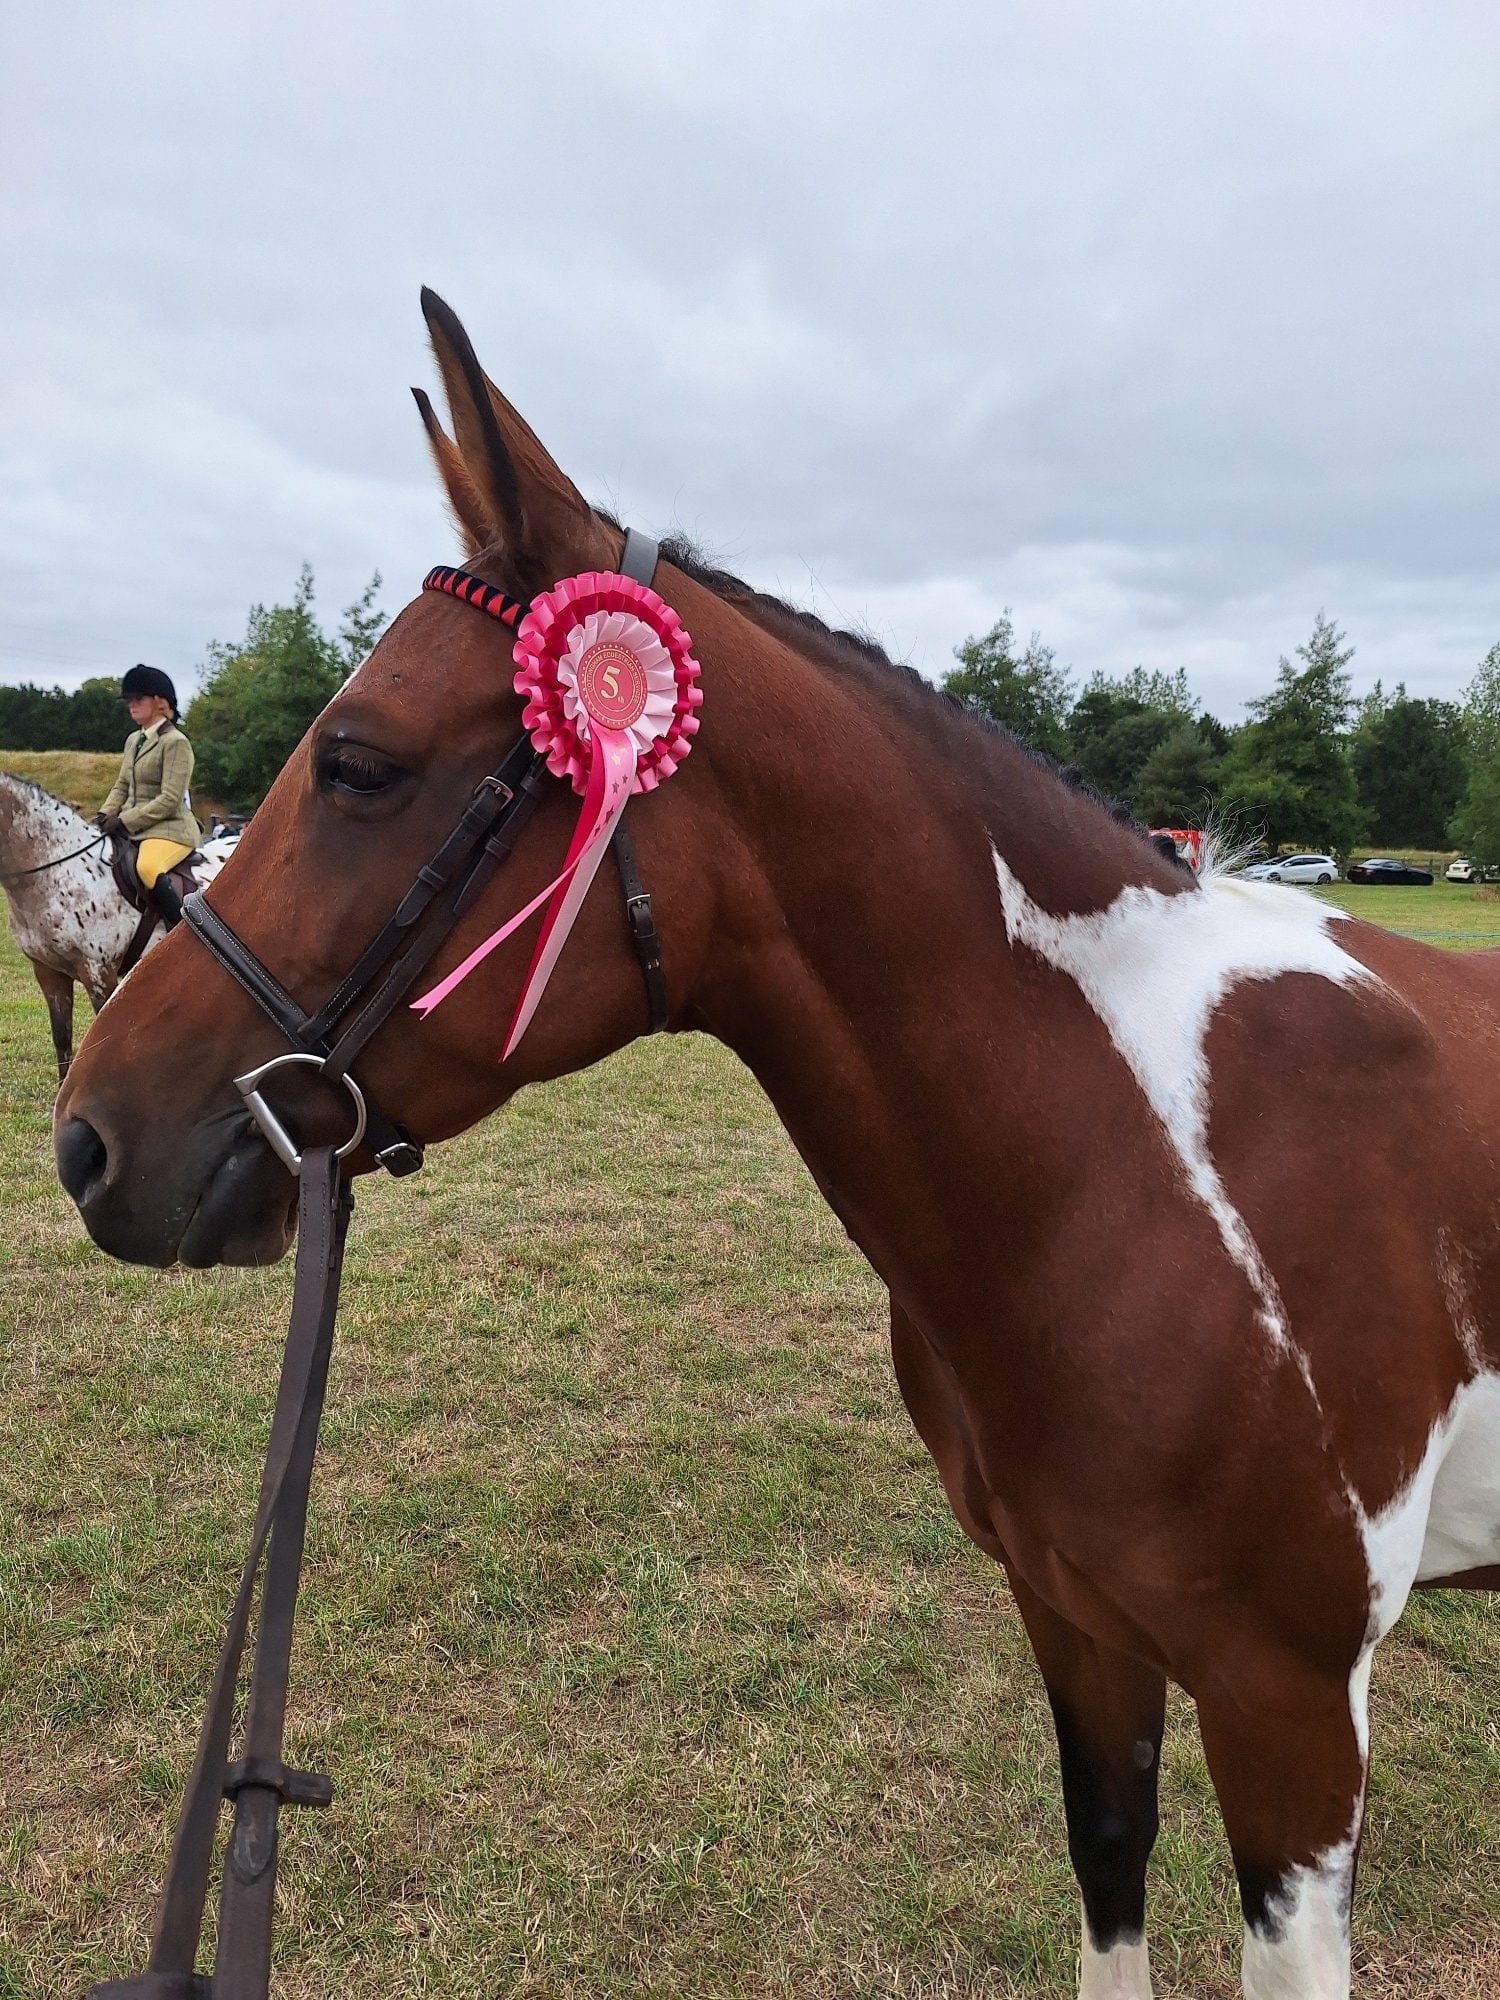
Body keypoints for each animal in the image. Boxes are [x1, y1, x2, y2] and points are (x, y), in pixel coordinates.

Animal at [52, 292, 1499, 2000]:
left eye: (356, 762)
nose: (87, 1142)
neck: (1129, 1167)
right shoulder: (1077, 1625)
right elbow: (1108, 1868)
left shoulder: (1292, 1708)